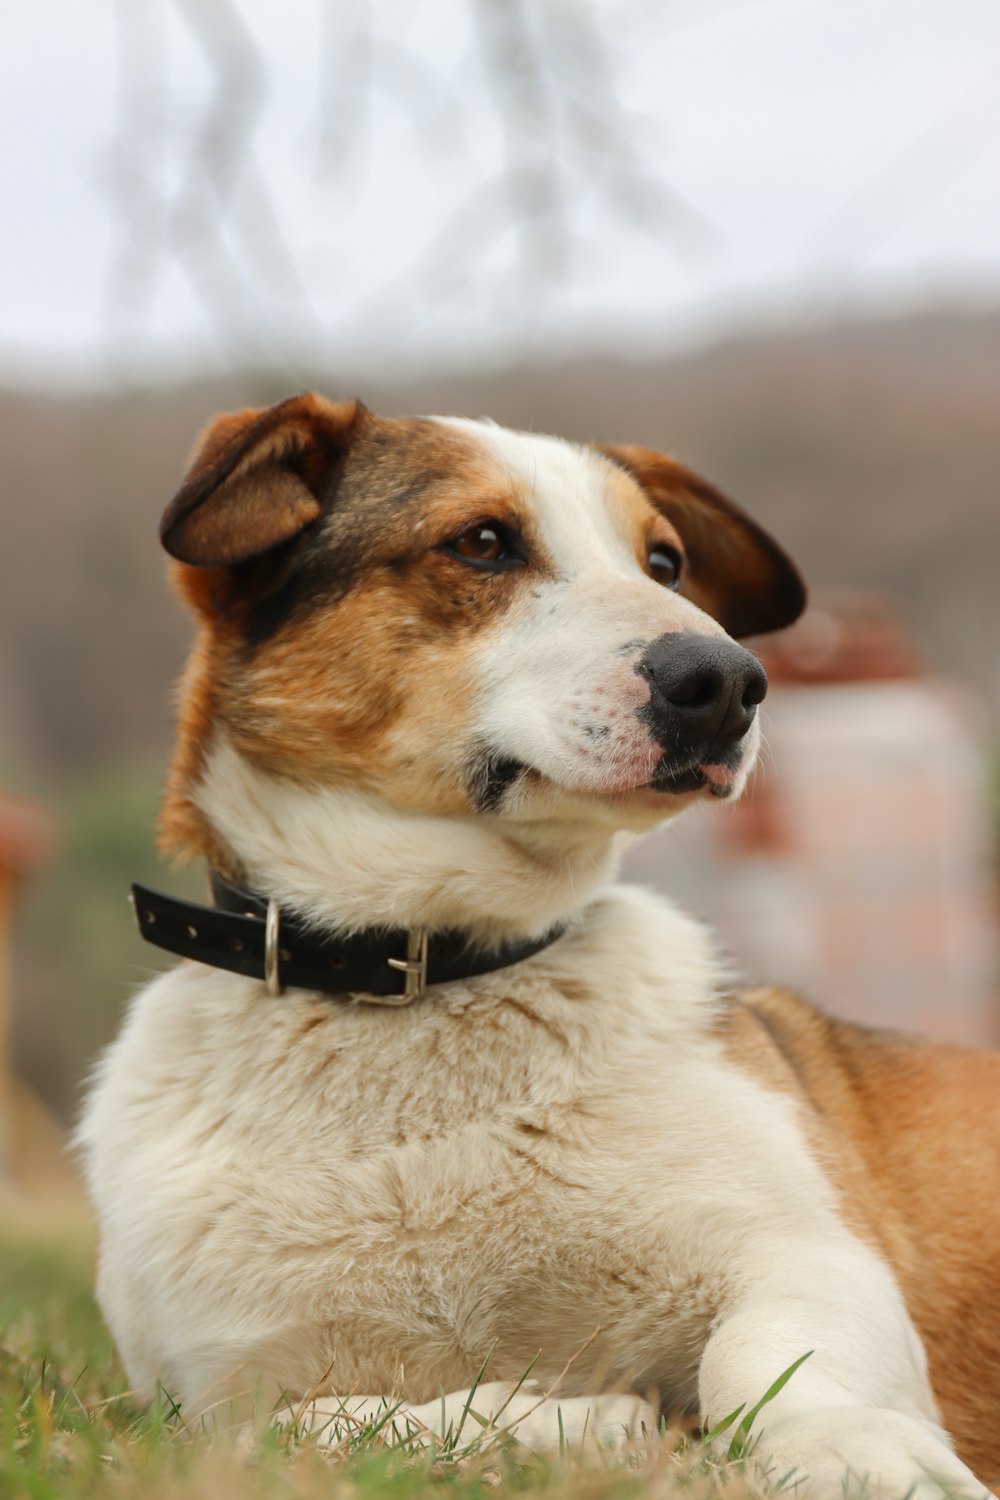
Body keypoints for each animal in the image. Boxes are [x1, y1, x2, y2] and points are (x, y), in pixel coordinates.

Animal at [76, 393, 1000, 1494]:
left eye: (664, 563)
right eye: (482, 543)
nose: (732, 681)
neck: (422, 973)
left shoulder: (808, 1253)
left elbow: (767, 1361)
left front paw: (846, 1447)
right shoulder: (204, 1410)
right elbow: (323, 1426)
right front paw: (578, 1424)